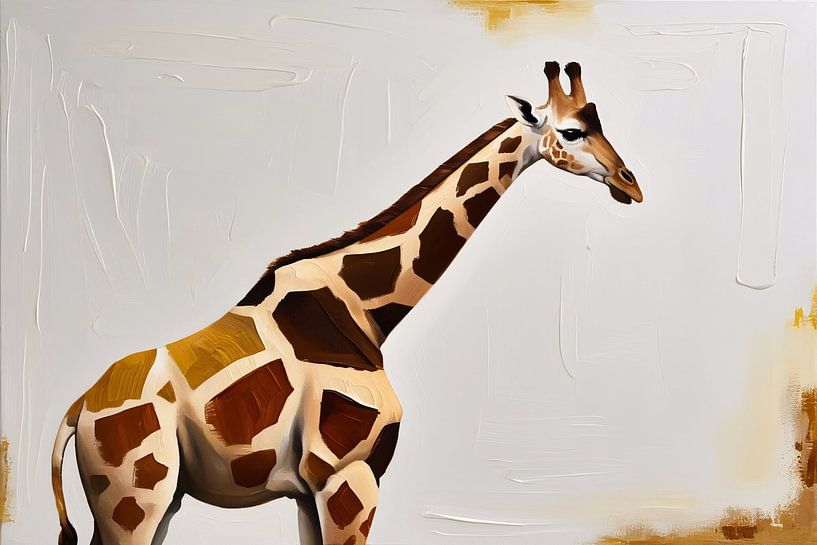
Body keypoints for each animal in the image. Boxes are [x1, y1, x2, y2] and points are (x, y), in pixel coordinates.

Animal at [50, 61, 642, 545]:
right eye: (571, 131)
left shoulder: (312, 491)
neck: (365, 312)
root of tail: (78, 409)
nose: (630, 184)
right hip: (134, 499)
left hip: (159, 500)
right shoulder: (349, 475)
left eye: (601, 124)